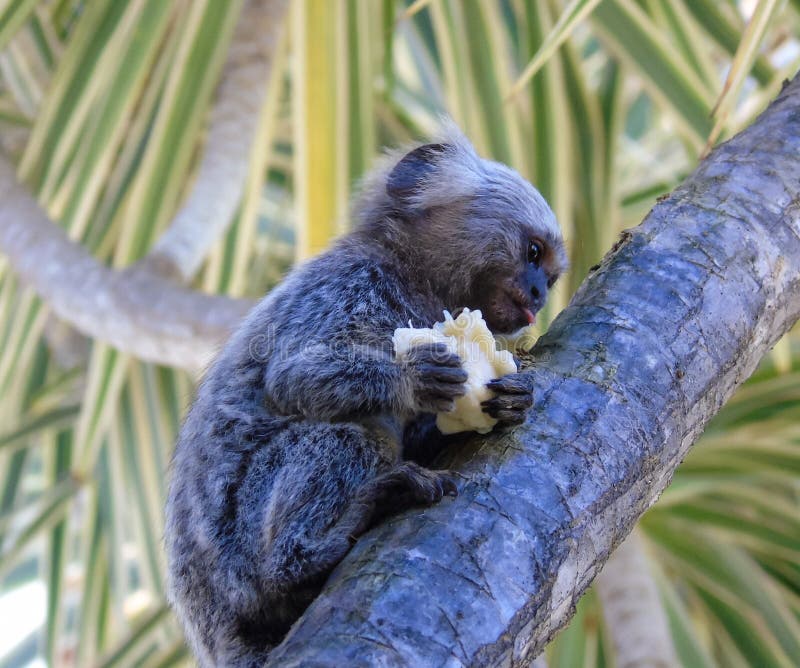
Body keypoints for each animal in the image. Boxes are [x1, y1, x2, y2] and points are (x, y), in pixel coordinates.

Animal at [167, 124, 568, 664]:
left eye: (550, 275)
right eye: (533, 253)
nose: (539, 296)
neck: (409, 276)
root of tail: (214, 624)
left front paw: (510, 398)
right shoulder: (348, 287)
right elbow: (294, 377)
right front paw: (411, 379)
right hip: (238, 541)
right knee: (354, 439)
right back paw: (323, 545)